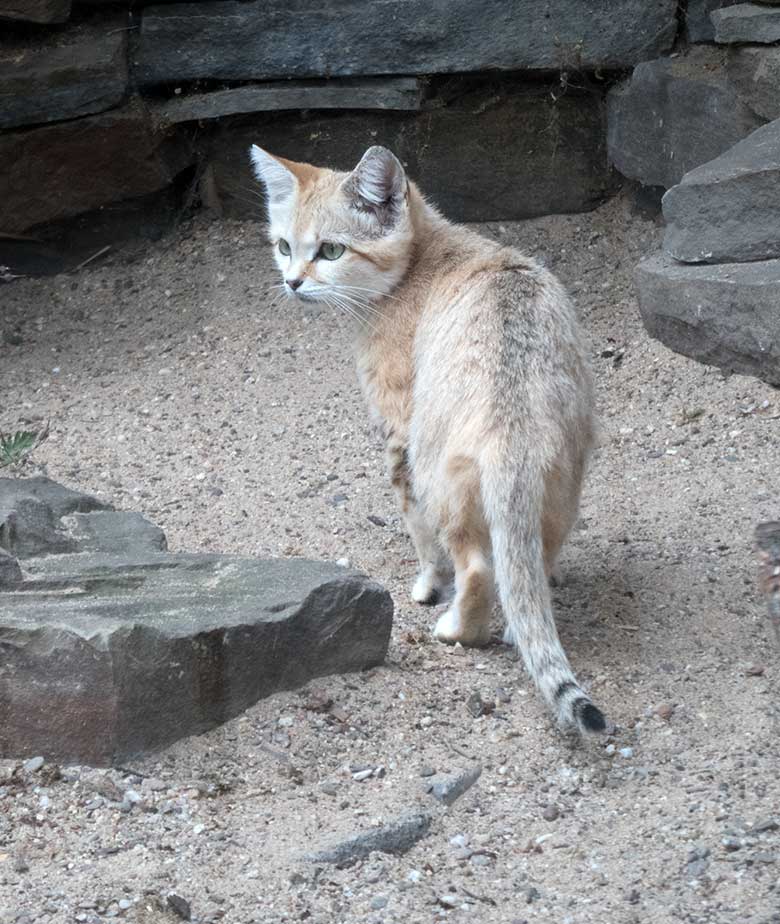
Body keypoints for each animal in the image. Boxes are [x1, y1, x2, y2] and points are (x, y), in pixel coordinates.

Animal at [253, 144, 608, 736]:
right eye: (284, 247)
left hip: (441, 475)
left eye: (330, 250)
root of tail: (512, 427)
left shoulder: (398, 430)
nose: (294, 282)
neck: (426, 255)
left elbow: (417, 530)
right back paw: (519, 617)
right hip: (562, 481)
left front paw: (425, 584)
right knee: (532, 560)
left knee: (478, 569)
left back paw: (456, 628)